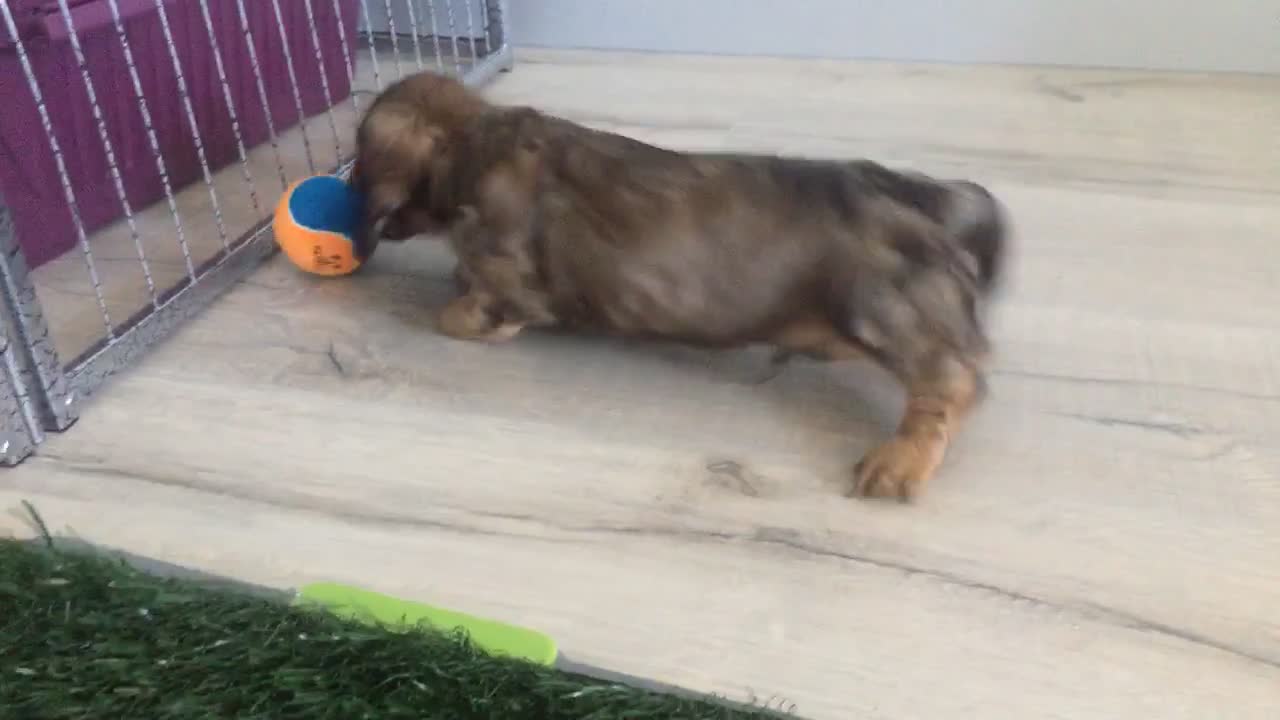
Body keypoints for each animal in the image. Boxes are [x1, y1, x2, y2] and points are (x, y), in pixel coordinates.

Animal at [350, 71, 1008, 499]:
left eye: (362, 163)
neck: (476, 143)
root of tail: (909, 193)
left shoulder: (509, 287)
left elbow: (470, 308)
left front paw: (448, 302)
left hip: (873, 303)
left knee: (952, 382)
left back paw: (900, 461)